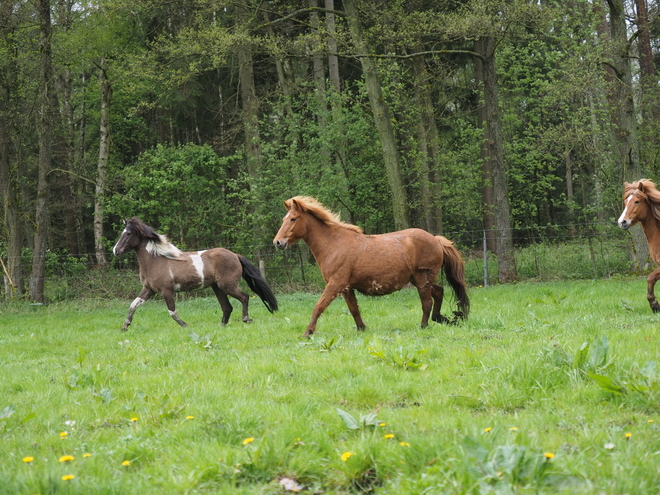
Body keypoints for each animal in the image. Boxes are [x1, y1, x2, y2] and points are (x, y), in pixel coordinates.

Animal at [113, 218, 276, 332]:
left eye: (128, 233)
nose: (116, 251)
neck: (156, 260)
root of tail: (235, 255)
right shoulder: (149, 289)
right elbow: (133, 305)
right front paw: (125, 326)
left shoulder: (167, 291)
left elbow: (172, 312)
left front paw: (185, 325)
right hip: (217, 287)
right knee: (227, 307)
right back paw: (222, 326)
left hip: (227, 285)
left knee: (244, 297)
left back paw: (246, 319)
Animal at [272, 197, 470, 338]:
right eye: (283, 218)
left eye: (293, 218)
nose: (278, 242)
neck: (333, 244)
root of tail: (436, 239)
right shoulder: (346, 288)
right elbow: (354, 309)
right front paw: (362, 329)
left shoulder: (335, 285)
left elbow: (318, 307)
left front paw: (307, 333)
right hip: (420, 279)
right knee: (438, 292)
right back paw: (441, 318)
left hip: (422, 279)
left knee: (427, 302)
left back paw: (424, 326)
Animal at [616, 180, 660, 312]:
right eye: (625, 202)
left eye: (637, 201)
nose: (622, 222)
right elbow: (650, 278)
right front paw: (655, 305)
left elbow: (650, 277)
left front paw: (654, 304)